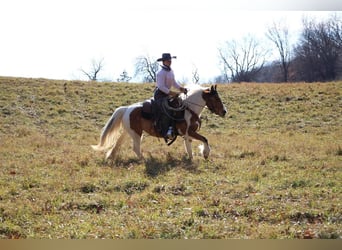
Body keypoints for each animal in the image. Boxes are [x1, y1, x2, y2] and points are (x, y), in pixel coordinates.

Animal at [90, 85, 227, 161]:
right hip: (136, 134)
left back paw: (110, 157)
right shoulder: (189, 132)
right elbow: (205, 139)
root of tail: (127, 108)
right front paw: (205, 154)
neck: (188, 109)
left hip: (128, 132)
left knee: (117, 144)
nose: (224, 111)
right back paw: (143, 160)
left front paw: (191, 158)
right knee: (135, 148)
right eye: (216, 98)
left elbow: (189, 146)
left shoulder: (187, 134)